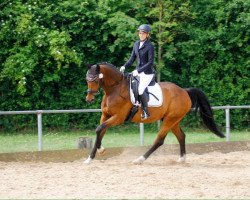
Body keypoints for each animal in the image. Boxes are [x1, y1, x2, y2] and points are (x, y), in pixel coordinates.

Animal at [83, 62, 225, 164]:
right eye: (87, 79)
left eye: (95, 80)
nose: (89, 99)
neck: (114, 90)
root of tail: (184, 91)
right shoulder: (105, 116)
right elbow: (100, 131)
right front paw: (90, 158)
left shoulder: (118, 118)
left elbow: (99, 129)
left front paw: (101, 150)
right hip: (172, 120)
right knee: (181, 136)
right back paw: (181, 159)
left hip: (170, 120)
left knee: (159, 140)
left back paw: (140, 159)